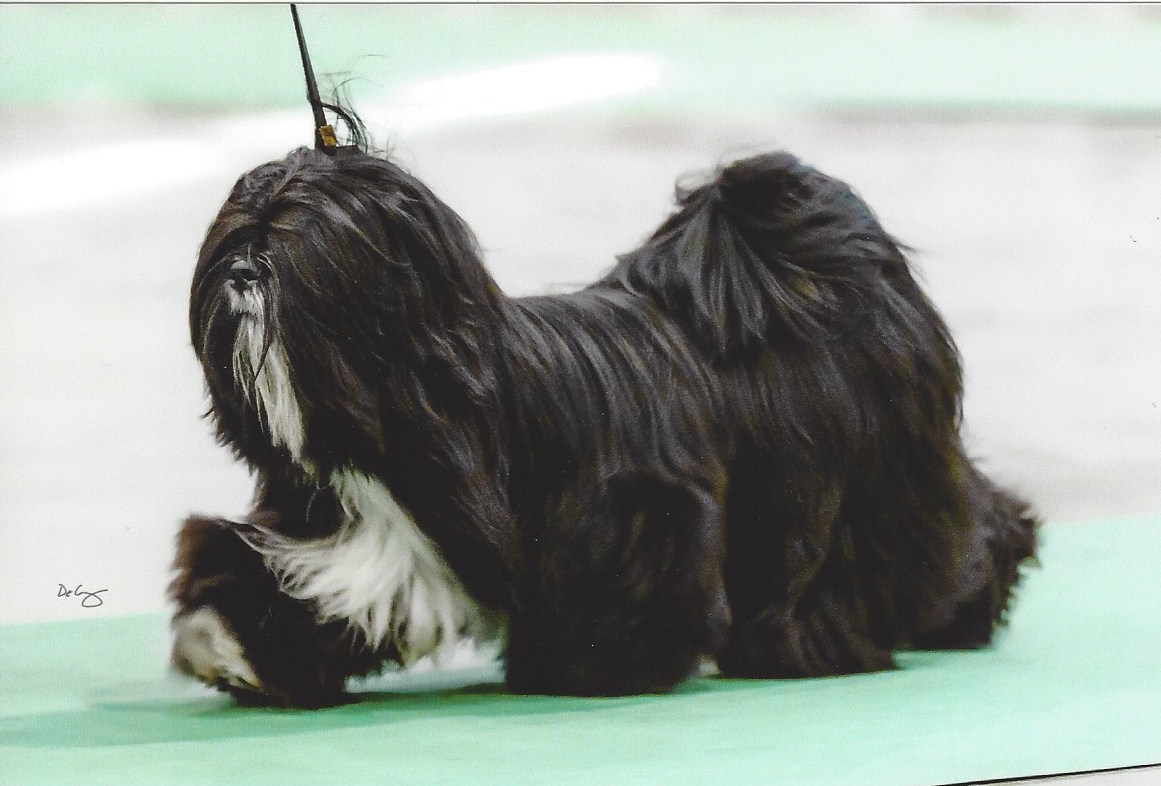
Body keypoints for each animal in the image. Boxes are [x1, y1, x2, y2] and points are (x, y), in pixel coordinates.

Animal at [169, 143, 1035, 705]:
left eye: (293, 241)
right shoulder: (355, 527)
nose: (241, 272)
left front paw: (595, 670)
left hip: (853, 482)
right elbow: (294, 581)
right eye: (237, 234)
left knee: (923, 542)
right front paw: (228, 641)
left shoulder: (636, 514)